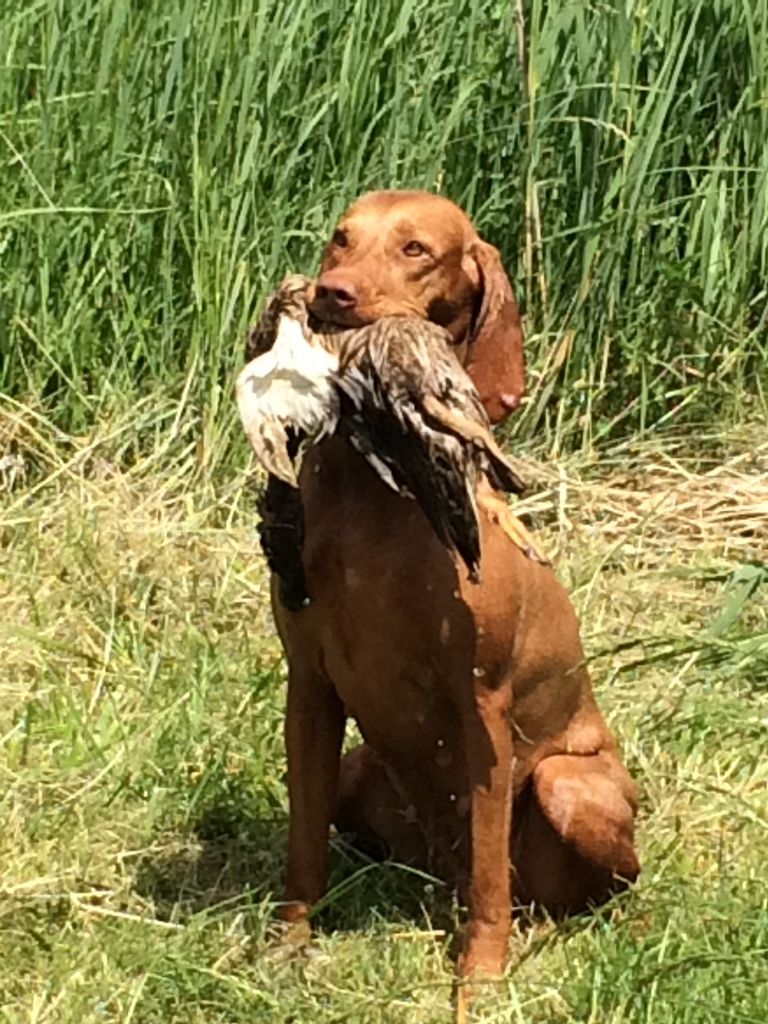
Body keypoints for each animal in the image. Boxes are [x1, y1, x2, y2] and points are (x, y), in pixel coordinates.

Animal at [268, 190, 638, 974]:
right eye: (341, 239)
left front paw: (481, 980)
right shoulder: (308, 685)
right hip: (360, 768)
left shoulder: (483, 706)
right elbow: (303, 844)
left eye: (417, 250)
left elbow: (492, 876)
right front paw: (287, 945)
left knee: (580, 885)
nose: (330, 294)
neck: (377, 492)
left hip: (567, 786)